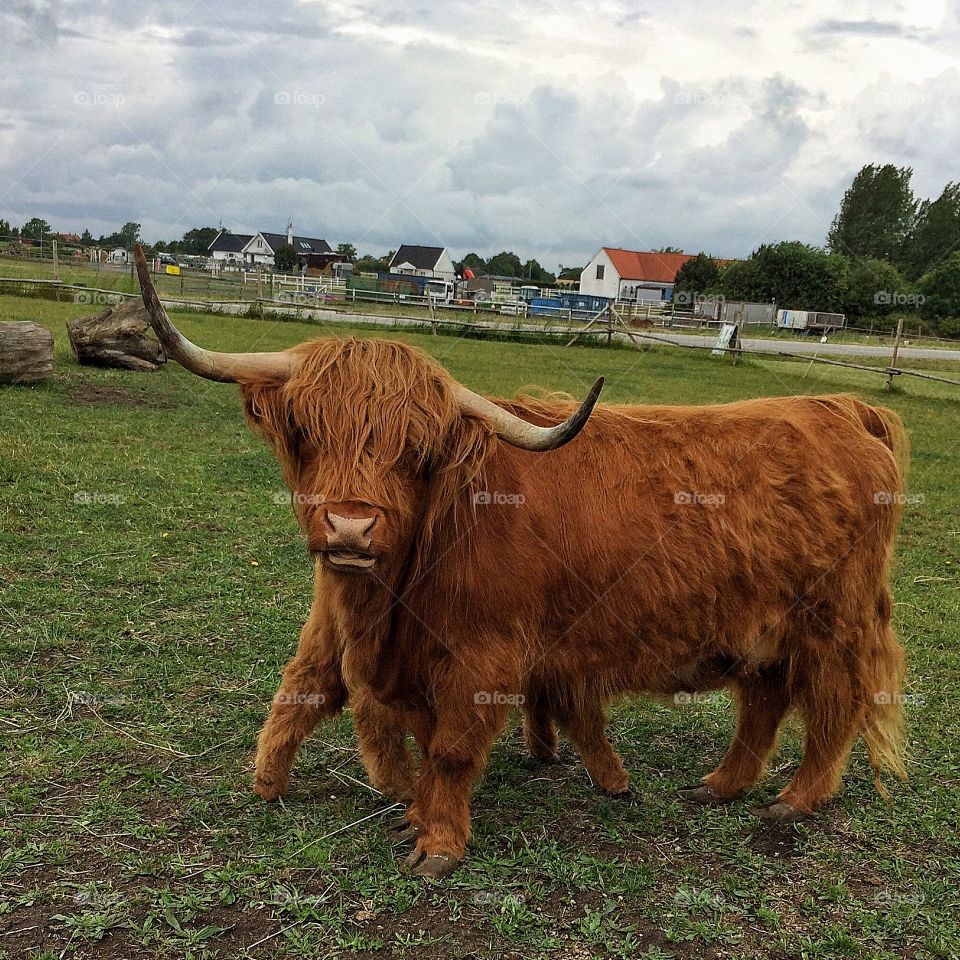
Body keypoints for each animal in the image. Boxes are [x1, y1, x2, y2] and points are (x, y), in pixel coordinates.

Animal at [134, 245, 908, 879]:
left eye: (417, 453)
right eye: (303, 429)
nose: (350, 527)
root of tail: (839, 408)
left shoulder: (487, 657)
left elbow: (449, 749)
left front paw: (438, 844)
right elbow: (346, 708)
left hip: (831, 624)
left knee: (833, 705)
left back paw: (793, 801)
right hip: (759, 631)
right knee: (764, 703)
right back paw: (719, 787)